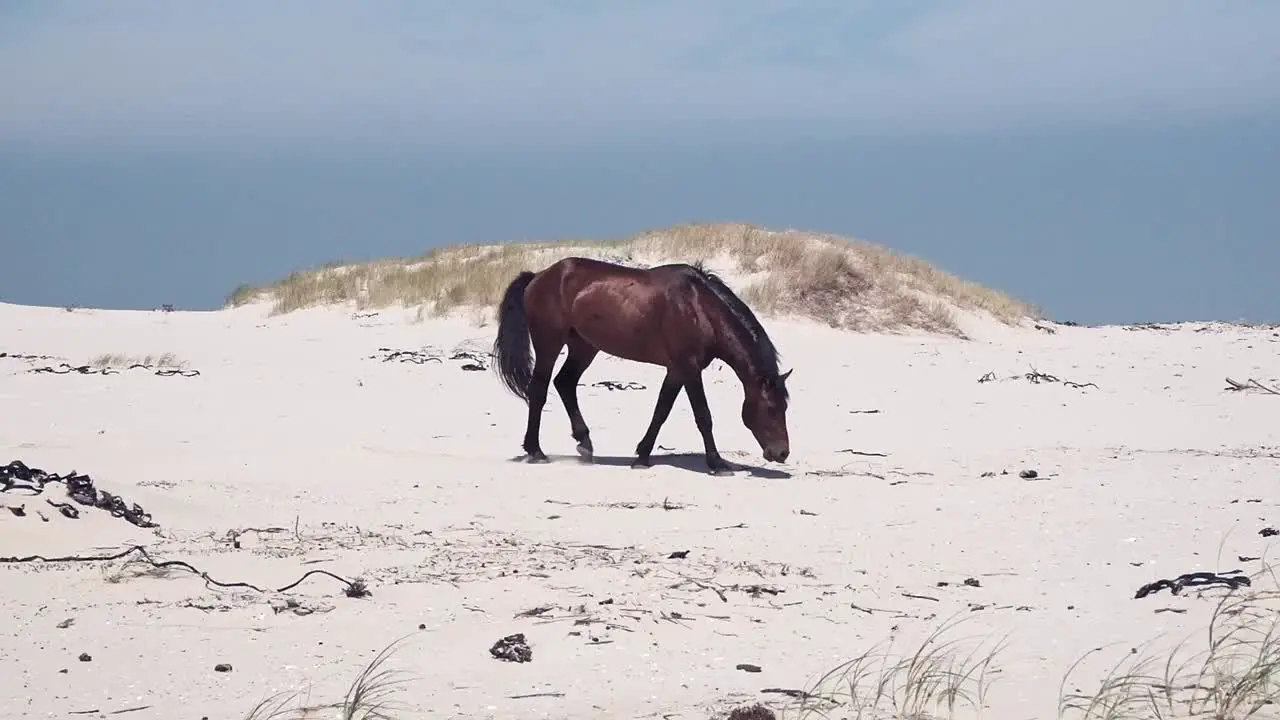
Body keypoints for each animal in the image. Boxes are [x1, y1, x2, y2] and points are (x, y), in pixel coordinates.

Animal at [488, 254, 788, 474]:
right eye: (771, 408)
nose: (782, 453)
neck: (699, 307)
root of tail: (537, 276)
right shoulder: (689, 368)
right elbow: (703, 416)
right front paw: (717, 463)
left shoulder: (676, 370)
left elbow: (661, 411)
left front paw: (642, 456)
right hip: (549, 343)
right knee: (539, 390)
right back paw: (536, 451)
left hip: (584, 346)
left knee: (565, 383)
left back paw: (584, 443)